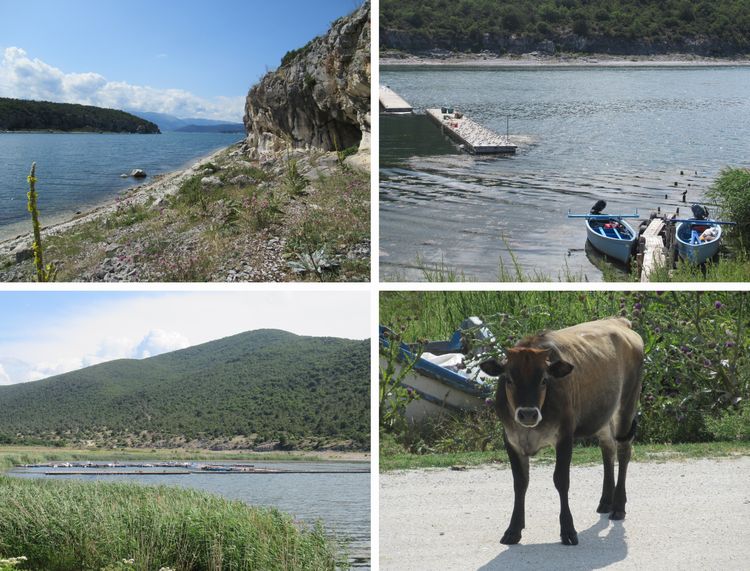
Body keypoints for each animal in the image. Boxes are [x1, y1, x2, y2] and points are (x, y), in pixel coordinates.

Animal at [479, 317, 643, 546]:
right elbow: (520, 483)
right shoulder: (511, 439)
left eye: (544, 380)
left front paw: (568, 530)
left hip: (627, 403)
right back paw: (605, 501)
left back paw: (618, 506)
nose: (527, 414)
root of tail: (619, 321)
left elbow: (561, 480)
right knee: (608, 449)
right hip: (603, 414)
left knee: (624, 450)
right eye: (509, 380)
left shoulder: (565, 436)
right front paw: (513, 530)